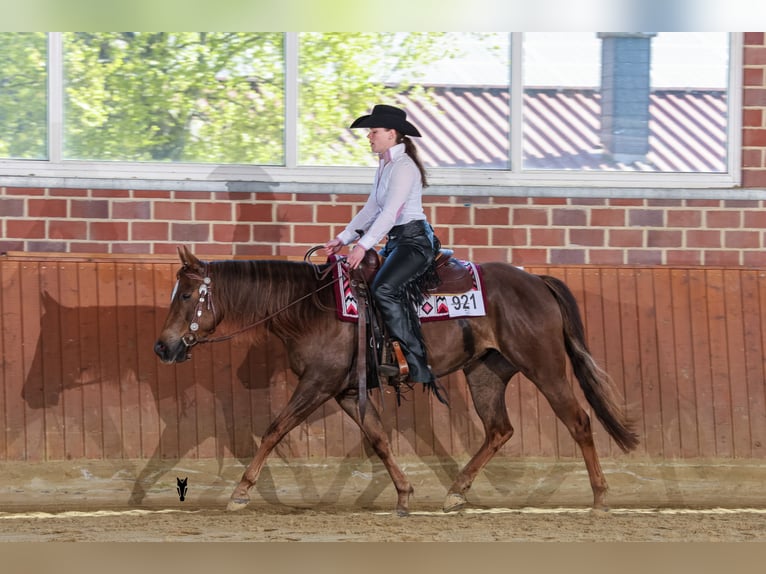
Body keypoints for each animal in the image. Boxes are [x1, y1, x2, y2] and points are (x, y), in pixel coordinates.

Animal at [154, 245, 639, 515]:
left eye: (186, 294)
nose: (163, 347)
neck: (310, 307)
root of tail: (536, 281)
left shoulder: (317, 384)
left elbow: (274, 430)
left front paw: (239, 493)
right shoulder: (346, 392)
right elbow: (379, 439)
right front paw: (404, 493)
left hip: (545, 367)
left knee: (578, 421)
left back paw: (600, 498)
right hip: (485, 371)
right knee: (499, 429)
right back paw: (455, 493)